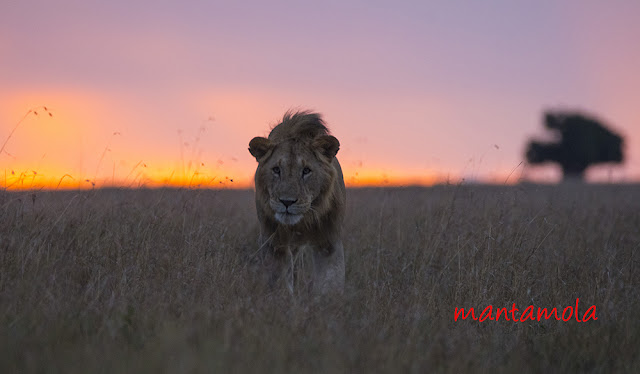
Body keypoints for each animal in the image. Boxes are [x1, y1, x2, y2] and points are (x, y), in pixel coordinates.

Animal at [249, 109, 348, 294]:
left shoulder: (328, 242)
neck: (303, 221)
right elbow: (279, 279)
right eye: (276, 170)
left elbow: (330, 281)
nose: (287, 202)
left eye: (306, 171)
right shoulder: (274, 242)